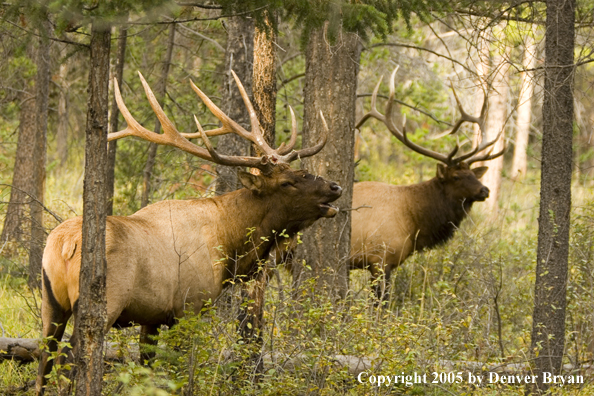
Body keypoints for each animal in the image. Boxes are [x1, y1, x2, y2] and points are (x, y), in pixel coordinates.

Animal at [35, 72, 342, 394]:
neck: (229, 246)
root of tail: (65, 244)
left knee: (44, 358)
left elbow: (148, 368)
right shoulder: (190, 306)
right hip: (104, 302)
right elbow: (181, 369)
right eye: (287, 182)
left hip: (51, 302)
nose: (335, 187)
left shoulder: (151, 316)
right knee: (69, 358)